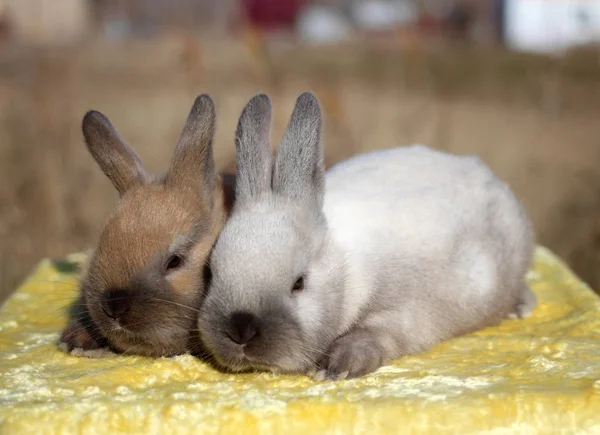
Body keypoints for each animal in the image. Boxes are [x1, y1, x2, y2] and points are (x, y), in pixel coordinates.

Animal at [198, 93, 540, 382]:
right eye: (212, 273)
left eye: (299, 283)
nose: (240, 331)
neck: (346, 271)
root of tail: (483, 171)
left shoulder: (402, 313)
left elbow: (373, 336)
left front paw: (335, 367)